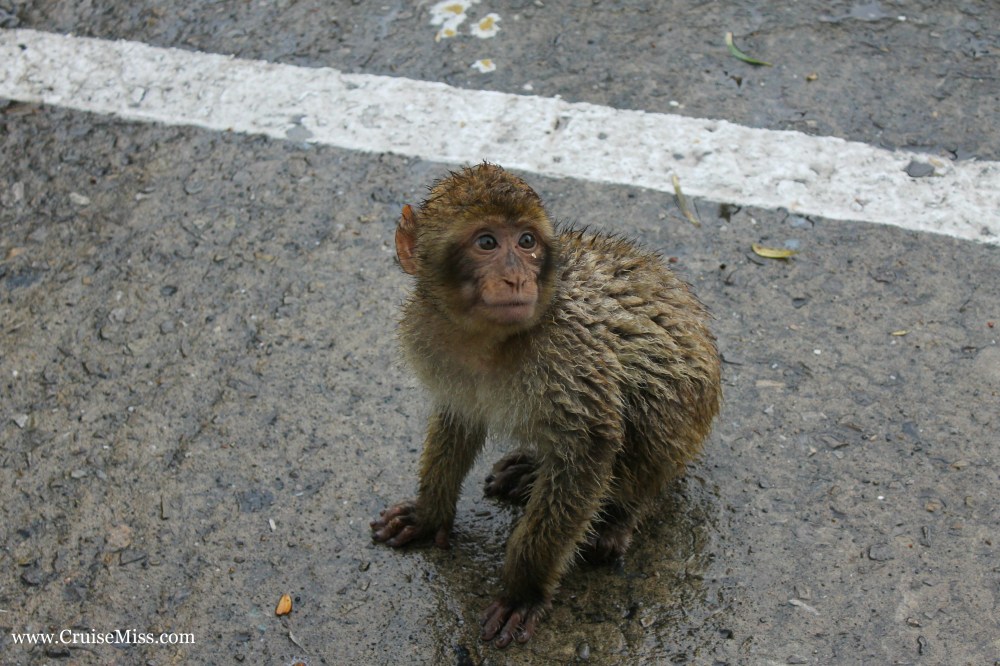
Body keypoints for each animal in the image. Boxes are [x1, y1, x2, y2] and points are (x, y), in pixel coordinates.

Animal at [371, 163, 721, 648]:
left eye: (526, 241)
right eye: (487, 243)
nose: (517, 278)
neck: (489, 341)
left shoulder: (566, 355)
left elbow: (590, 448)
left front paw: (524, 588)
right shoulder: (434, 340)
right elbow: (458, 418)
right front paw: (429, 513)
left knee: (653, 398)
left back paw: (620, 513)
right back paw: (531, 469)